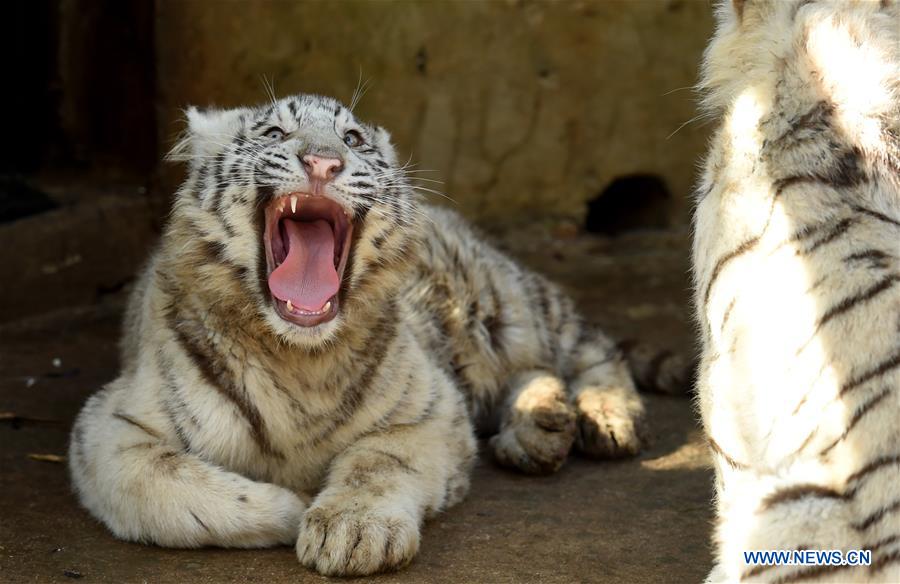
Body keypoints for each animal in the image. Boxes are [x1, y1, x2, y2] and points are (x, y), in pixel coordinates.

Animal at [68, 92, 688, 576]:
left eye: (353, 139)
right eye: (274, 133)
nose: (323, 162)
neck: (299, 356)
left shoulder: (430, 409)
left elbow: (377, 461)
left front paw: (352, 532)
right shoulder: (110, 428)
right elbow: (167, 482)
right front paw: (292, 505)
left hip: (509, 305)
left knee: (589, 348)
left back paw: (607, 420)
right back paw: (540, 429)